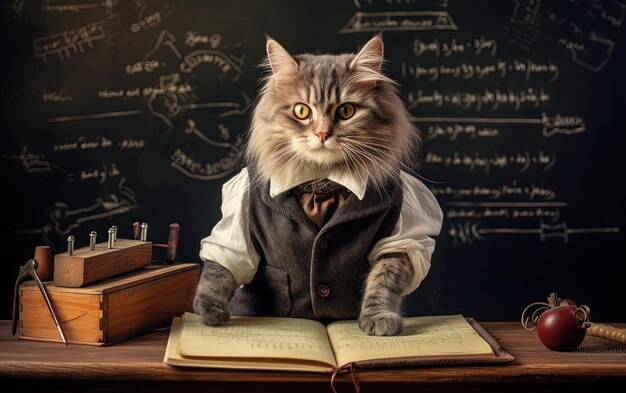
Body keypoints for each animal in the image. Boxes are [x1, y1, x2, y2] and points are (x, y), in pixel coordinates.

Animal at [193, 36, 442, 334]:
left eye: (346, 111)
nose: (322, 134)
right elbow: (220, 268)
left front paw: (379, 319)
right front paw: (209, 313)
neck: (322, 182)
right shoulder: (237, 226)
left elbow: (383, 282)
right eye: (302, 111)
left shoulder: (400, 240)